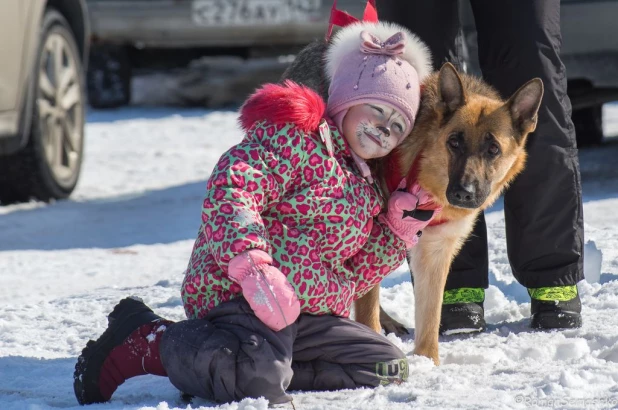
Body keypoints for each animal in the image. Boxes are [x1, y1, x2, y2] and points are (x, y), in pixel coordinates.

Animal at [280, 30, 540, 366]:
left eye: (493, 149)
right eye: (454, 142)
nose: (462, 192)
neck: (427, 166)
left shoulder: (436, 249)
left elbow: (429, 316)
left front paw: (428, 362)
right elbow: (367, 305)